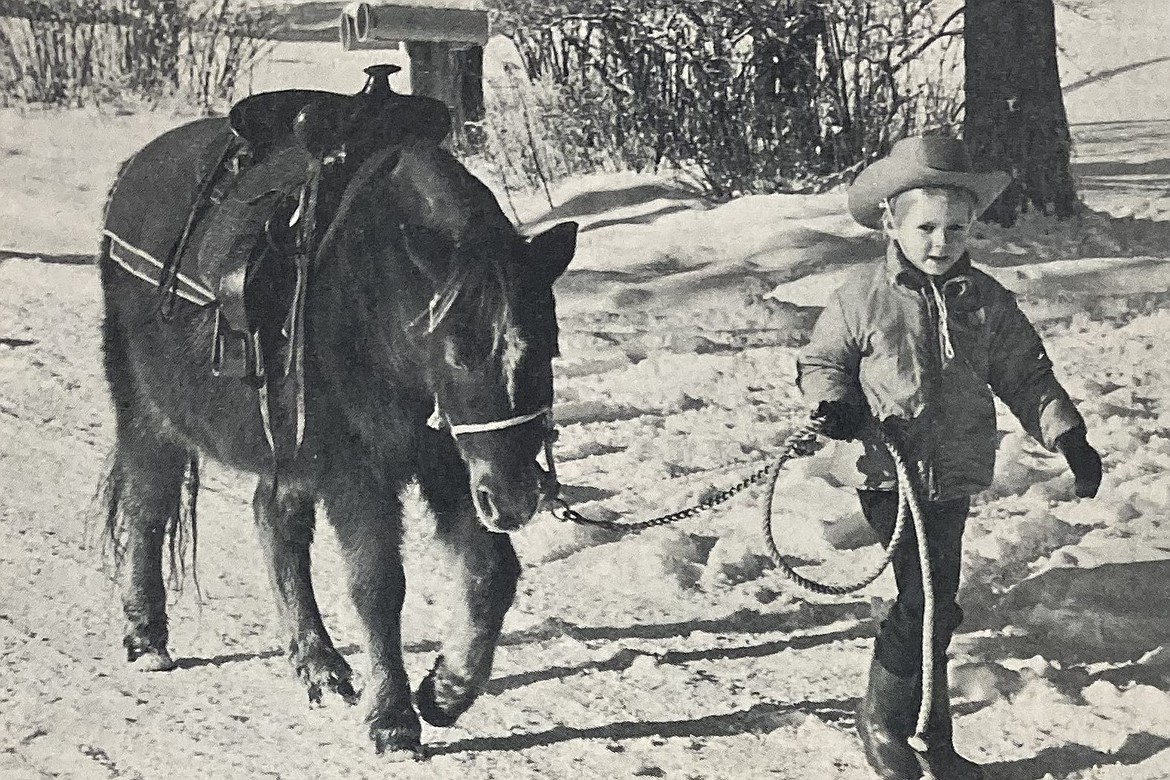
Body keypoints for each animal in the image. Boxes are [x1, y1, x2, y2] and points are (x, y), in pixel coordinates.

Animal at [98, 115, 577, 757]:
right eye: (456, 355)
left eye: (546, 349)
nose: (516, 498)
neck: (377, 301)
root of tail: (132, 174)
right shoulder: (357, 470)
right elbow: (377, 586)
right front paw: (393, 720)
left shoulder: (451, 461)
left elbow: (491, 572)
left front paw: (445, 690)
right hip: (149, 413)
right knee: (148, 509)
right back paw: (147, 639)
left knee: (273, 523)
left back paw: (318, 664)